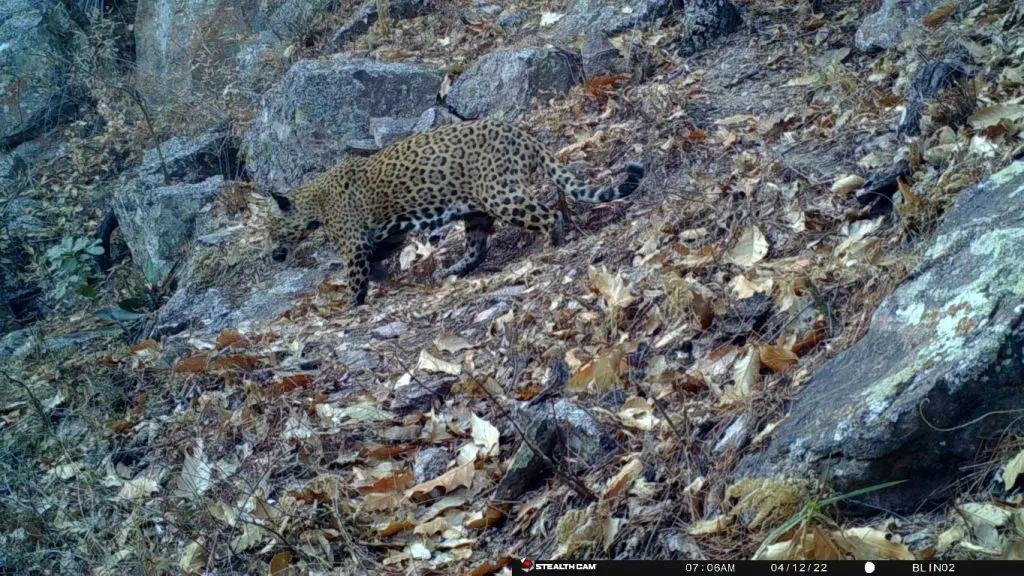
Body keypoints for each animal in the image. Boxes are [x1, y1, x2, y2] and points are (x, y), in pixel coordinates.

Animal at [266, 118, 646, 307]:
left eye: (272, 232)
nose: (271, 255)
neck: (314, 202)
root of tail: (522, 135)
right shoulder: (388, 234)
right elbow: (378, 256)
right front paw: (381, 278)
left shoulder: (354, 242)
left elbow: (356, 274)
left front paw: (352, 303)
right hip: (476, 210)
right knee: (478, 248)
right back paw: (452, 270)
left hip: (501, 194)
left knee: (548, 216)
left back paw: (553, 243)